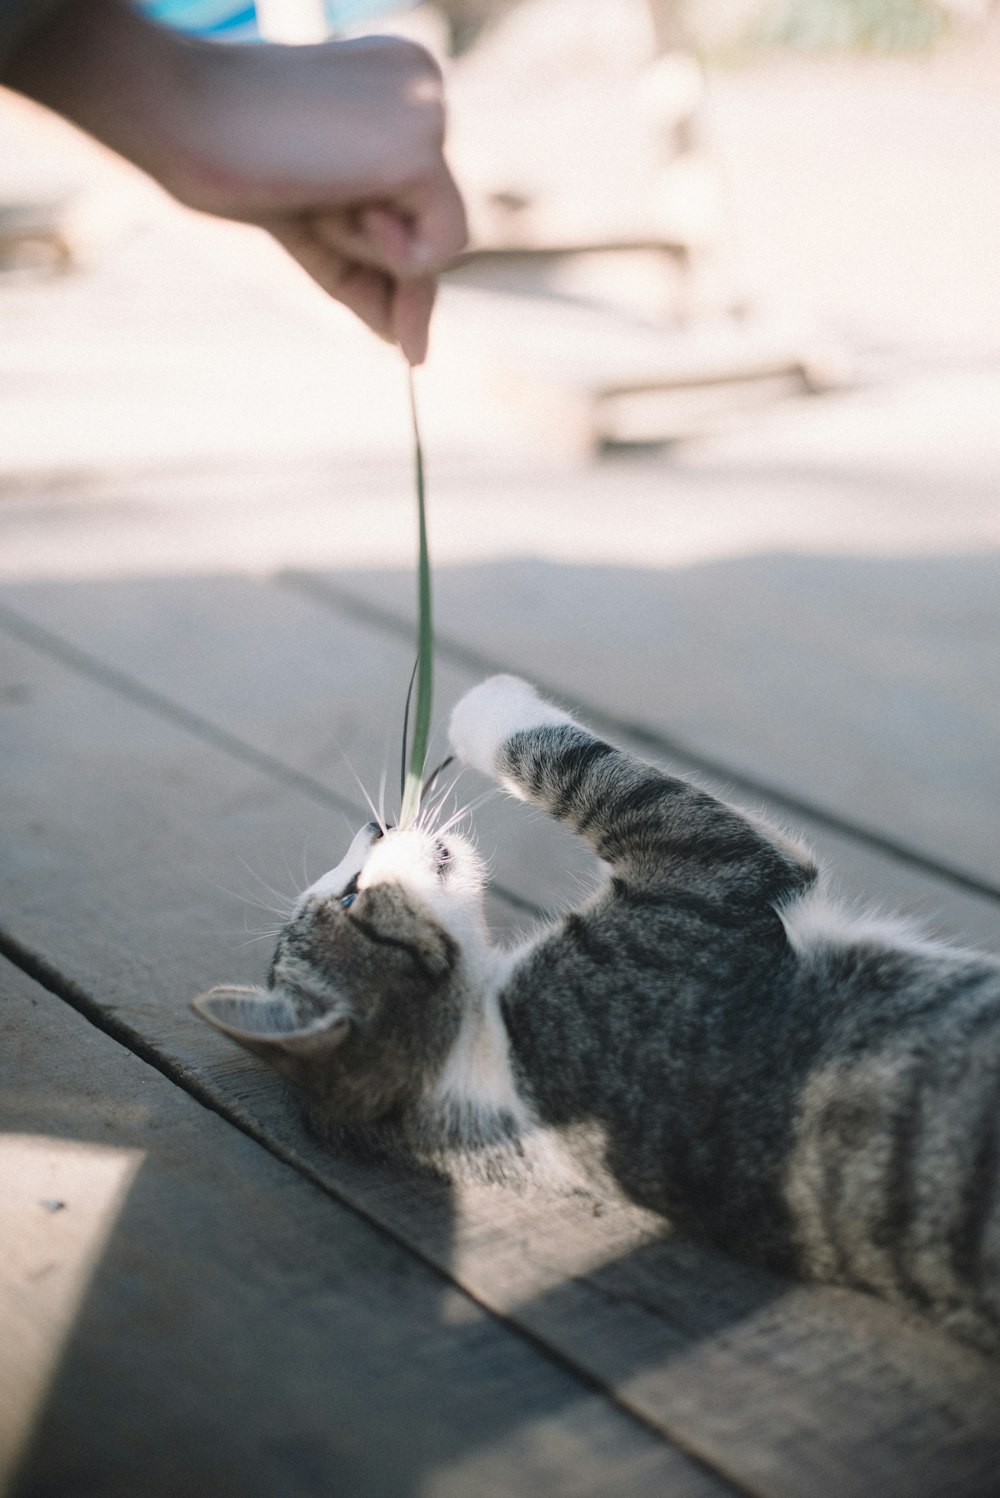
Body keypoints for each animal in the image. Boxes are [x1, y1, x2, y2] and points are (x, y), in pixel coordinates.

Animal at [194, 674, 999, 1354]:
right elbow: (580, 770)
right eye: (352, 895)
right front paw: (486, 700)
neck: (466, 1052)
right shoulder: (705, 875)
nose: (372, 824)